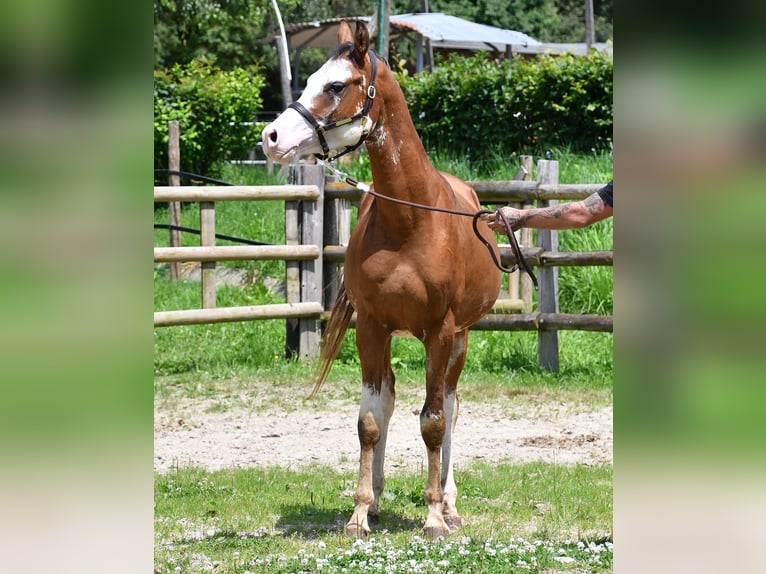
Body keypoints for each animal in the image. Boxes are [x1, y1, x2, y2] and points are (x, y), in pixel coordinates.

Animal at [262, 18, 504, 540]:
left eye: (335, 86)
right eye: (309, 80)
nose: (271, 137)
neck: (410, 221)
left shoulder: (441, 330)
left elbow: (433, 421)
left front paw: (433, 516)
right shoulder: (371, 326)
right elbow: (370, 421)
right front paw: (359, 512)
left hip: (461, 338)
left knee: (450, 404)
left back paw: (449, 503)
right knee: (390, 399)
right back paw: (377, 501)